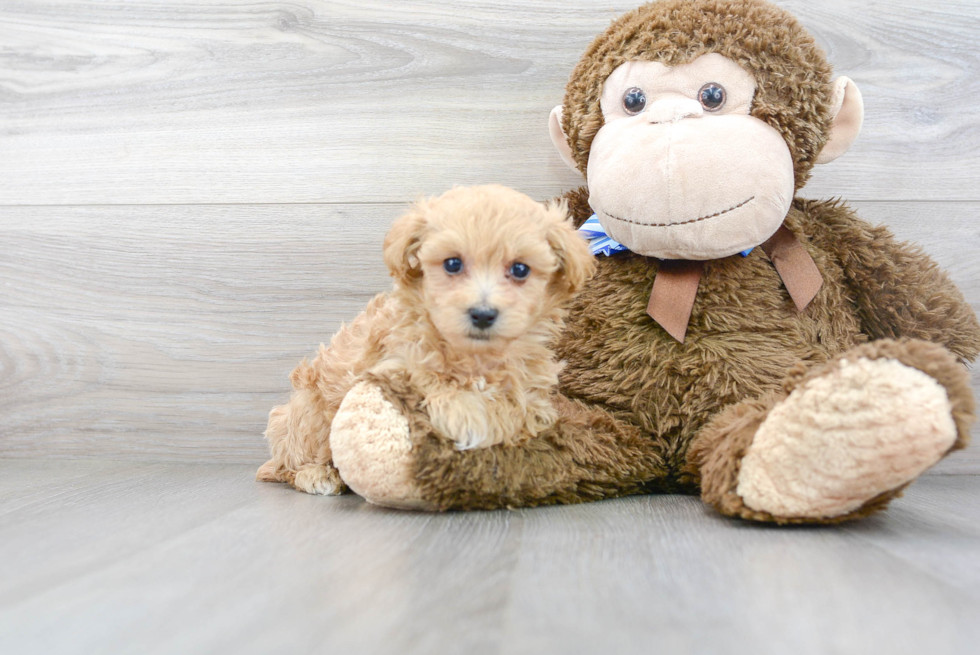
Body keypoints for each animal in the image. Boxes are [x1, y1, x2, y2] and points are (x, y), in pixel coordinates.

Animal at [256, 183, 592, 492]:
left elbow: (524, 409)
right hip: (307, 414)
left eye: (520, 269)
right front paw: (470, 416)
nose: (483, 314)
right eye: (453, 264)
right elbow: (436, 385)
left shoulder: (529, 384)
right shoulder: (394, 364)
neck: (475, 356)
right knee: (288, 463)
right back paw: (317, 475)